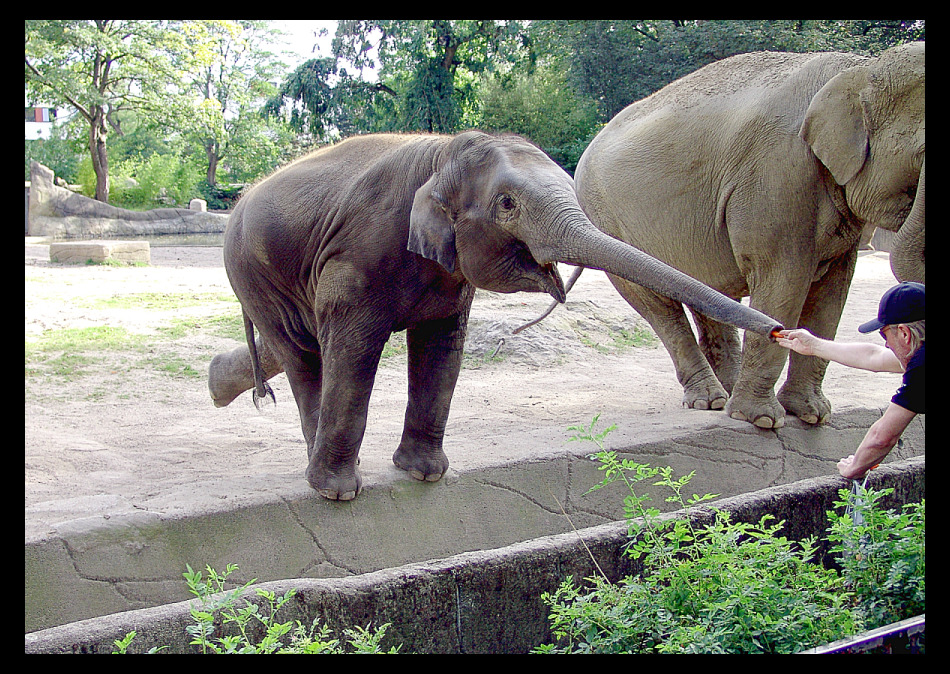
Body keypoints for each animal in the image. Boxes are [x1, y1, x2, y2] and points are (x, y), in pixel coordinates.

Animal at [208, 131, 780, 498]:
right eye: (507, 204)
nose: (780, 329)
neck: (442, 153)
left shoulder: (450, 276)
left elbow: (442, 347)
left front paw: (425, 476)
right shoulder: (358, 257)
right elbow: (355, 347)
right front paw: (340, 495)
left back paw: (224, 387)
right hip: (253, 274)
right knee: (303, 353)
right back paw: (320, 475)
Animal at [568, 42, 924, 428]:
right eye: (923, 154)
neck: (861, 67)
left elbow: (832, 294)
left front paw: (811, 414)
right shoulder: (778, 174)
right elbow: (784, 278)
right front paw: (762, 420)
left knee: (705, 293)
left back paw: (727, 391)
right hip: (607, 221)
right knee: (657, 305)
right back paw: (710, 401)